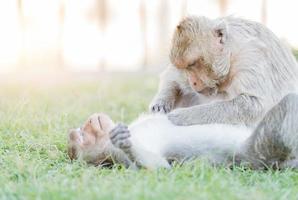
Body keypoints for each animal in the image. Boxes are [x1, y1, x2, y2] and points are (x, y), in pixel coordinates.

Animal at [68, 93, 298, 170]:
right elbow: (158, 166)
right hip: (262, 151)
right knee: (290, 102)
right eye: (83, 136)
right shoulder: (120, 153)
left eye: (81, 130)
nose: (89, 121)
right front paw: (125, 143)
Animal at [149, 15, 298, 126]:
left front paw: (184, 116)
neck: (231, 56)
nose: (192, 82)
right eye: (186, 68)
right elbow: (171, 76)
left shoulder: (251, 57)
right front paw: (162, 101)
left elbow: (254, 105)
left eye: (192, 64)